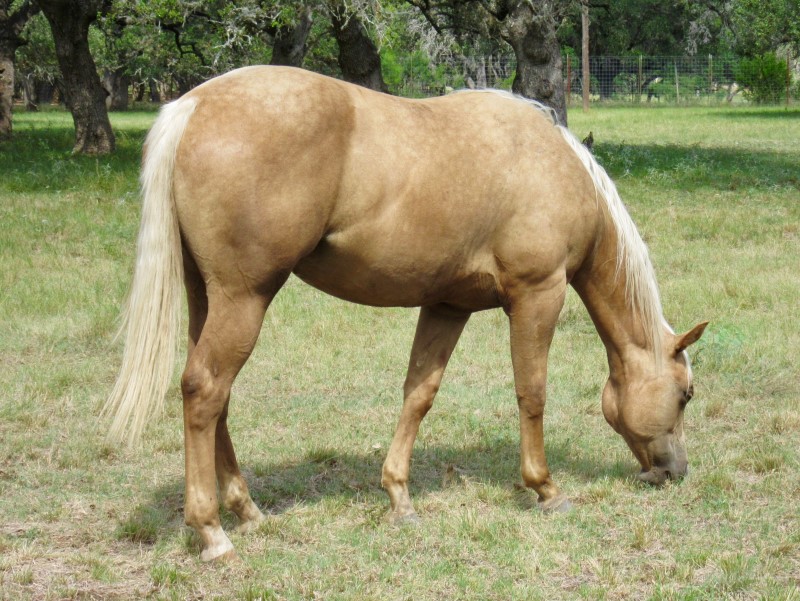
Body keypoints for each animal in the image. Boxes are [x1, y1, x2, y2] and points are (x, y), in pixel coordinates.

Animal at [103, 67, 708, 564]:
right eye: (684, 395)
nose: (673, 472)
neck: (551, 166)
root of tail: (193, 105)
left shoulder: (447, 305)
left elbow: (419, 393)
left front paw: (398, 497)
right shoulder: (539, 295)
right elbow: (531, 393)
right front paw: (545, 489)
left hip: (209, 297)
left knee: (213, 397)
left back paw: (246, 510)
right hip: (245, 297)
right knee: (206, 391)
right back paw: (212, 532)